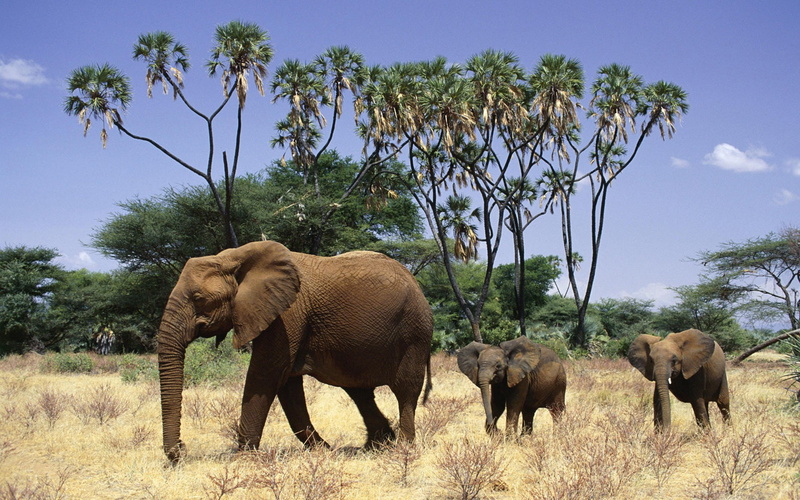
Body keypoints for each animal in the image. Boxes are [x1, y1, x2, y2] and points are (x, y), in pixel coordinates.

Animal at [157, 240, 433, 462]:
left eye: (198, 298)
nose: (181, 449)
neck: (232, 258)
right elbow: (287, 385)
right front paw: (323, 452)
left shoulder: (287, 314)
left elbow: (266, 374)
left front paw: (242, 458)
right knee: (359, 391)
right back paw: (376, 445)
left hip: (414, 332)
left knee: (405, 390)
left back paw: (403, 448)